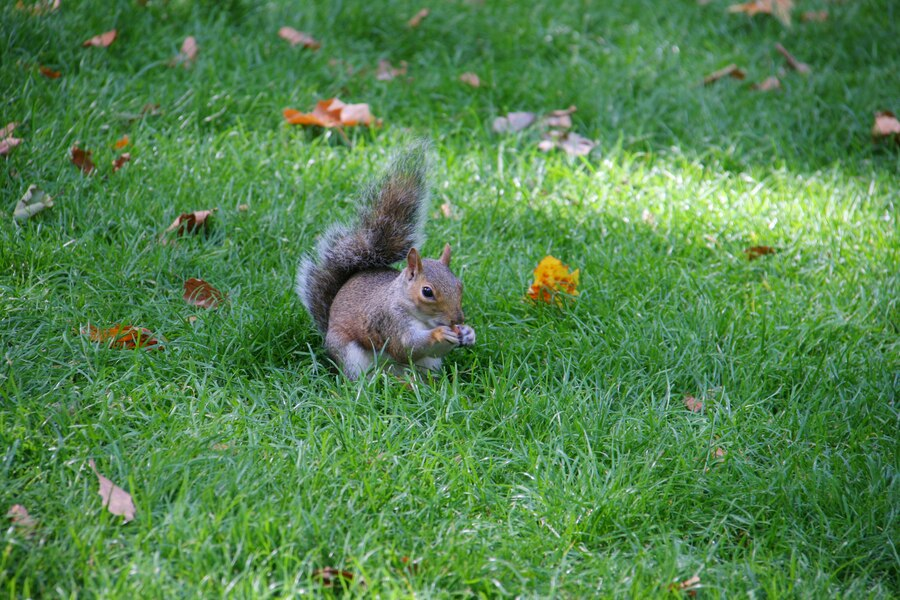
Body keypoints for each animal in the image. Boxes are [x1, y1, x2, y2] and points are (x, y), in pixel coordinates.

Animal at [298, 144, 478, 380]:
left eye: (459, 285)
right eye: (427, 292)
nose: (458, 319)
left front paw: (468, 333)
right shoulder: (388, 321)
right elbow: (405, 347)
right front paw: (439, 333)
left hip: (428, 365)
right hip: (350, 356)